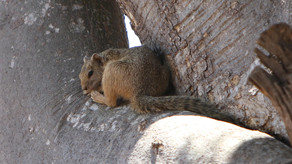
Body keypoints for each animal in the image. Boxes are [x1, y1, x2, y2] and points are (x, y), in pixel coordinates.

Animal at [79, 45, 237, 123]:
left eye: (90, 73)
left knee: (112, 103)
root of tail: (139, 91)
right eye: (80, 75)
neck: (105, 58)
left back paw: (100, 98)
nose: (84, 88)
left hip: (113, 70)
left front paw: (93, 90)